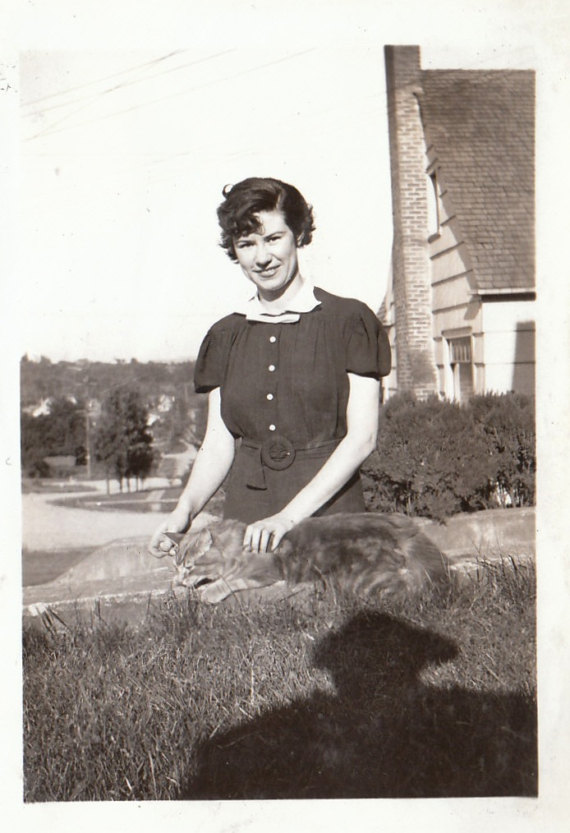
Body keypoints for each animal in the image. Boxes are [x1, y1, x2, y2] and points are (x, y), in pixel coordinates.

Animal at [163, 510, 448, 600]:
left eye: (190, 566)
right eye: (177, 566)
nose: (180, 577)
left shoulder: (265, 570)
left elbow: (230, 581)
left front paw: (208, 592)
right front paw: (178, 587)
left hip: (364, 580)